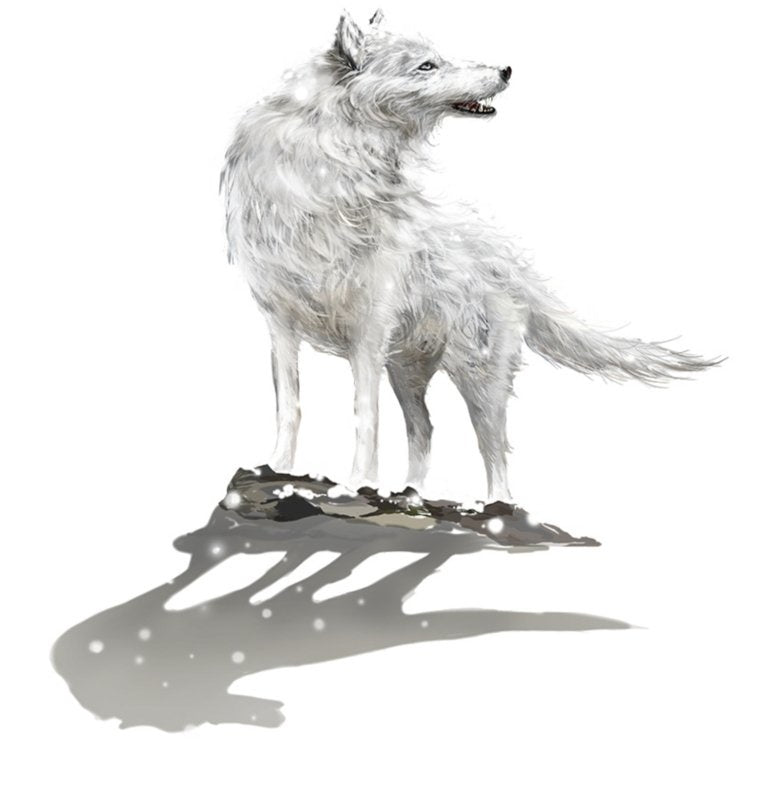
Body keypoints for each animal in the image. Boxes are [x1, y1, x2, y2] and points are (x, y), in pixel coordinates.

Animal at [221, 10, 720, 500]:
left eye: (437, 58)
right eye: (427, 66)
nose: (506, 70)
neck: (330, 168)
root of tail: (506, 258)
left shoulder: (369, 329)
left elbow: (365, 417)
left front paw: (355, 484)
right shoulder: (281, 323)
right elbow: (290, 406)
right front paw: (278, 467)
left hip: (478, 376)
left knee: (493, 449)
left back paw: (491, 504)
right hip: (407, 371)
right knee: (424, 428)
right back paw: (411, 493)